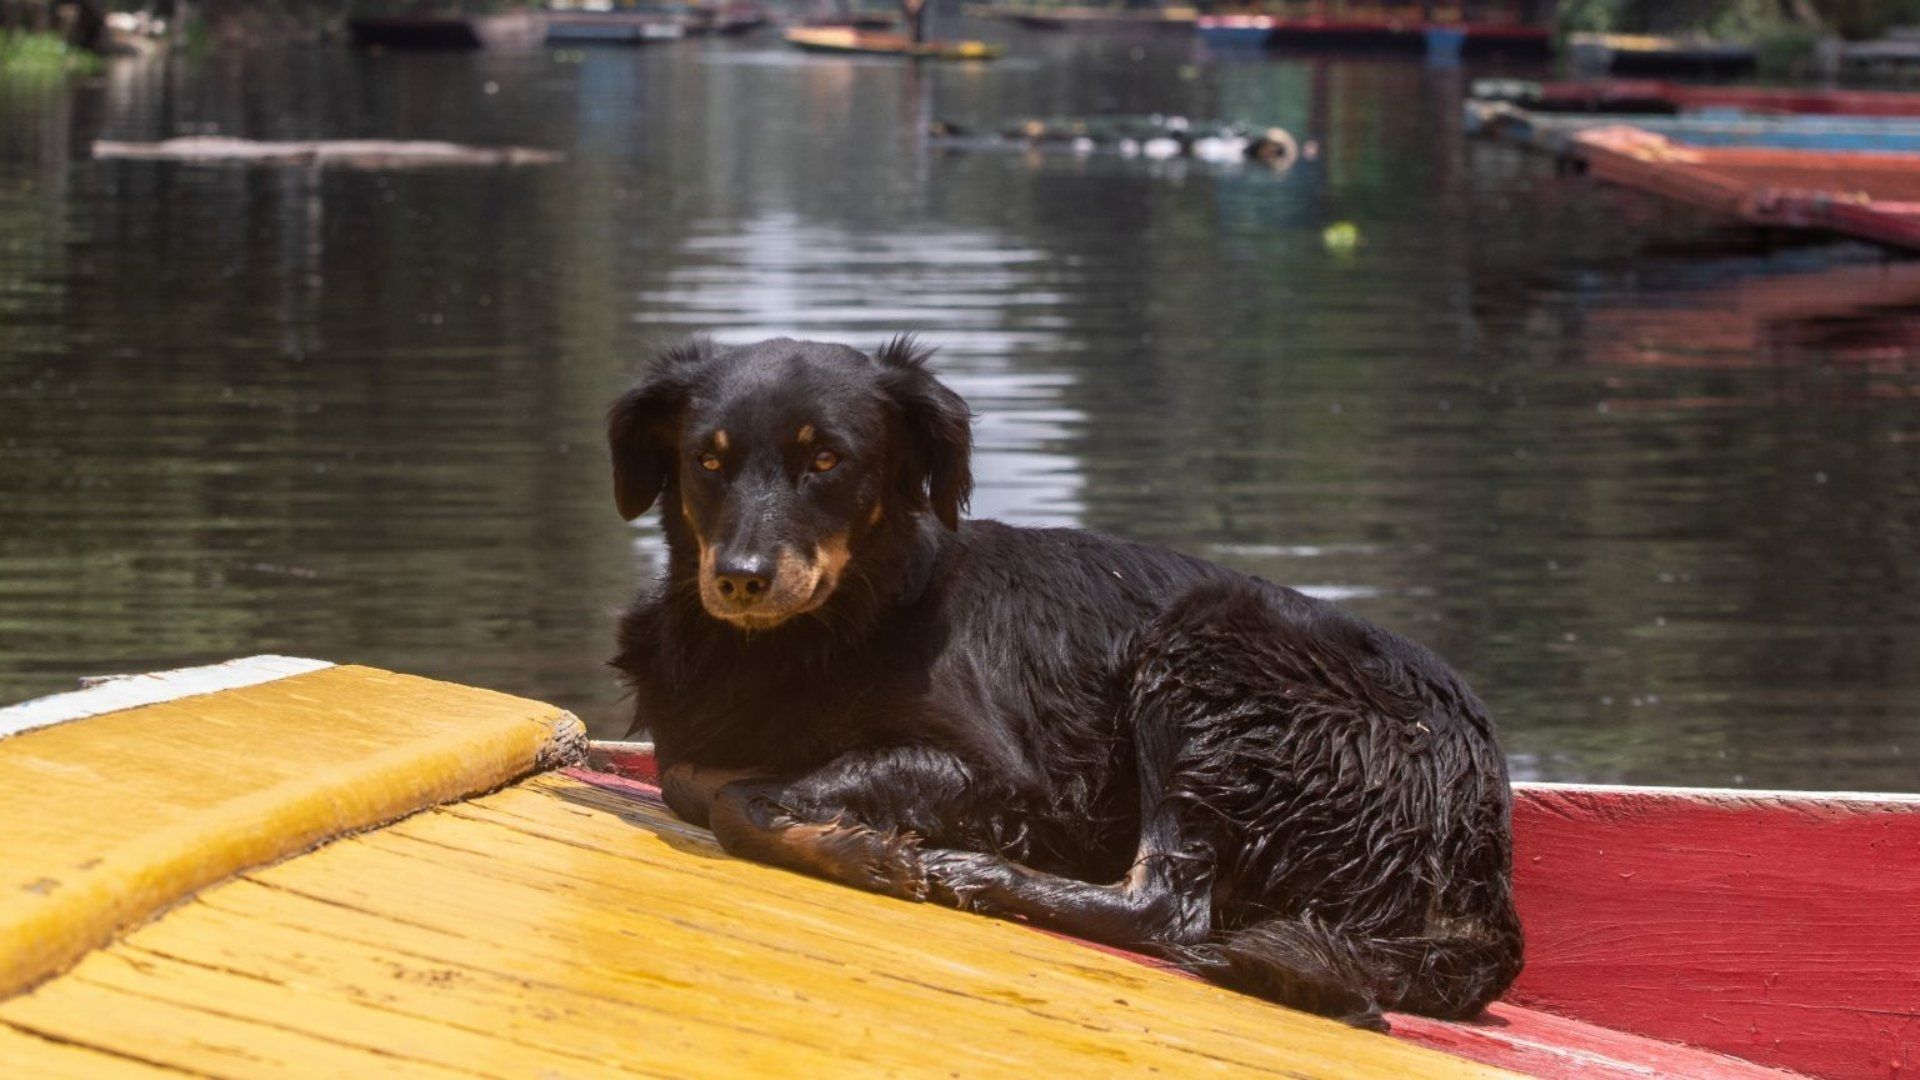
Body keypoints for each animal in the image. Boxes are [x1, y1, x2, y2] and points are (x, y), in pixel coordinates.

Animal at [606, 334, 1520, 1022]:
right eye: (707, 461)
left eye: (827, 459)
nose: (741, 578)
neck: (816, 633)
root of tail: (1480, 840)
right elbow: (695, 779)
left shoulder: (1001, 776)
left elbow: (741, 799)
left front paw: (866, 853)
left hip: (1207, 650)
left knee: (1166, 907)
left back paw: (978, 874)